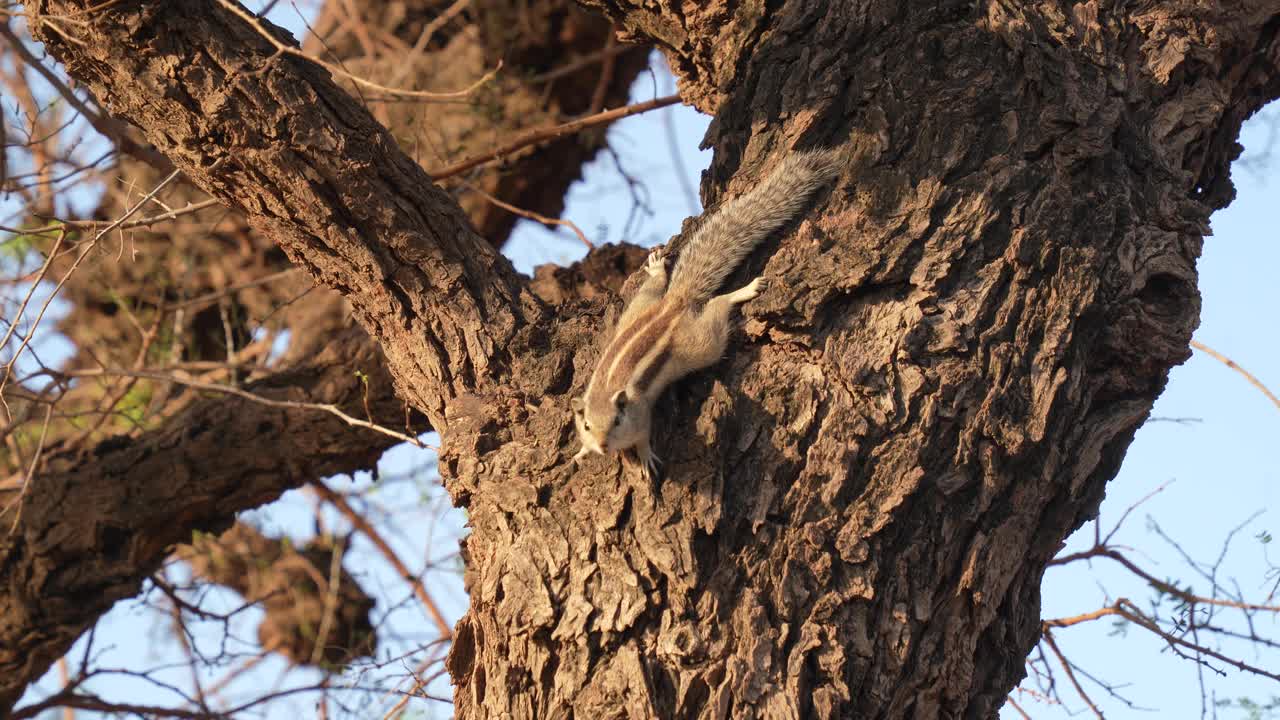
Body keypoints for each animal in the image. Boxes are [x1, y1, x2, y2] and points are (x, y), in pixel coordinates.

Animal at [576, 147, 844, 476]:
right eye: (587, 426)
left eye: (617, 421)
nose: (602, 446)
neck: (606, 391)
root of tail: (673, 305)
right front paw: (582, 451)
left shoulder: (640, 415)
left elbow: (643, 436)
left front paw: (645, 455)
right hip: (638, 309)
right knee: (653, 289)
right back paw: (656, 270)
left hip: (698, 345)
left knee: (717, 309)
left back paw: (739, 293)